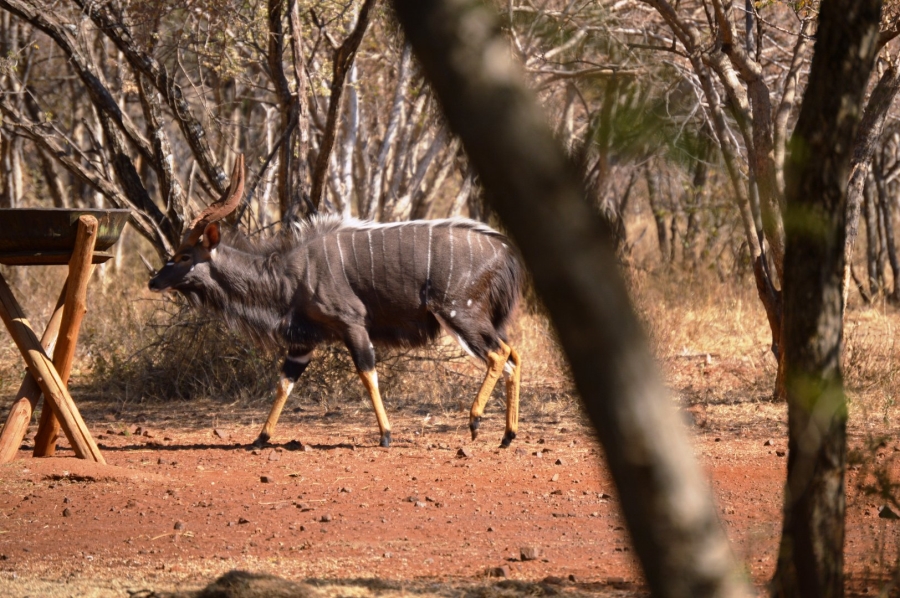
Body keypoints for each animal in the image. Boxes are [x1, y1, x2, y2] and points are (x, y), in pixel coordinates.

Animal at [150, 157, 524, 448]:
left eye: (184, 255)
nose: (153, 281)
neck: (289, 274)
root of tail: (506, 253)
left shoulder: (352, 323)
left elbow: (367, 372)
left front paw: (386, 435)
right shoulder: (303, 341)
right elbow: (284, 382)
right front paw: (260, 438)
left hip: (459, 314)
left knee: (499, 355)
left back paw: (475, 421)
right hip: (480, 320)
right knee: (513, 356)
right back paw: (507, 436)